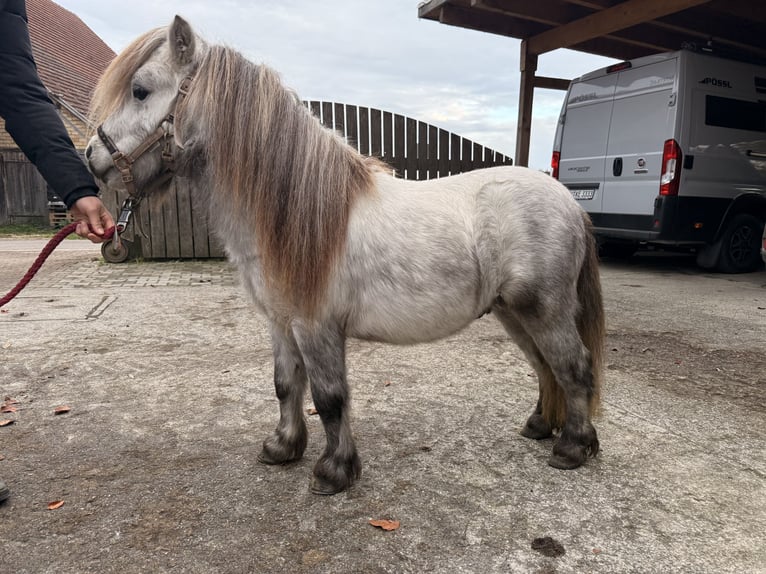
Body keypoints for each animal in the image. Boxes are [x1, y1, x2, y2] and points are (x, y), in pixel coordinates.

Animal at [85, 16, 605, 495]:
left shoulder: (316, 326)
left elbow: (329, 397)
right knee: (546, 367)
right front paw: (282, 447)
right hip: (512, 313)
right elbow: (285, 384)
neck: (295, 212)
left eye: (140, 90)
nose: (92, 156)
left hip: (544, 311)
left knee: (574, 367)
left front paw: (334, 472)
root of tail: (569, 202)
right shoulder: (281, 323)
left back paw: (573, 447)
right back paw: (540, 427)